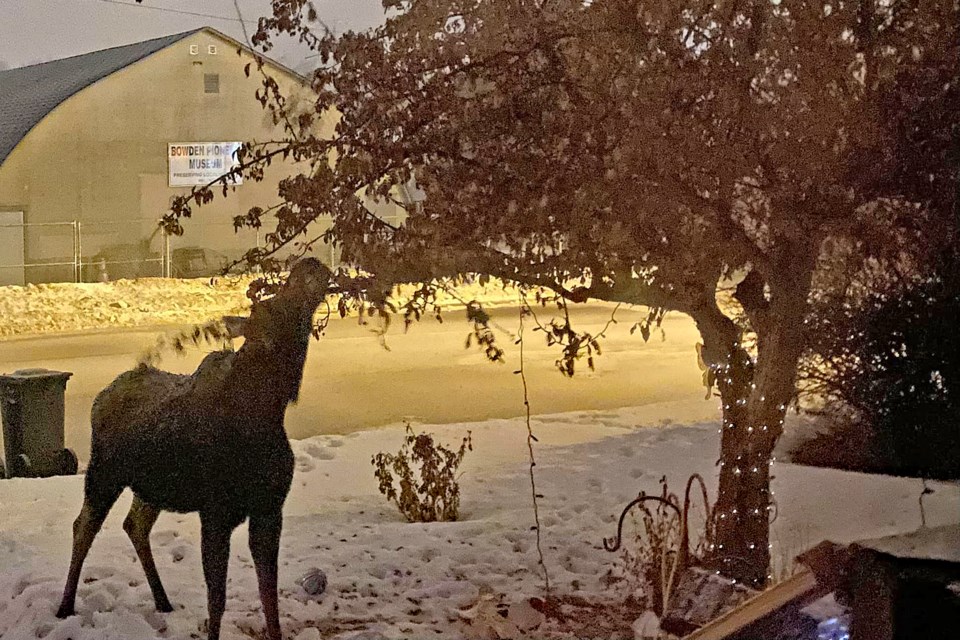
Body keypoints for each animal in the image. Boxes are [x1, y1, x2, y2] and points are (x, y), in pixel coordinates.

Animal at [58, 258, 334, 636]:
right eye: (272, 306)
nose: (311, 263)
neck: (265, 412)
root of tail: (101, 395)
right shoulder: (215, 513)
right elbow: (216, 600)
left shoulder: (269, 509)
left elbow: (270, 596)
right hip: (104, 474)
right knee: (83, 526)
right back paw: (65, 606)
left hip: (152, 488)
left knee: (134, 524)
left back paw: (163, 600)